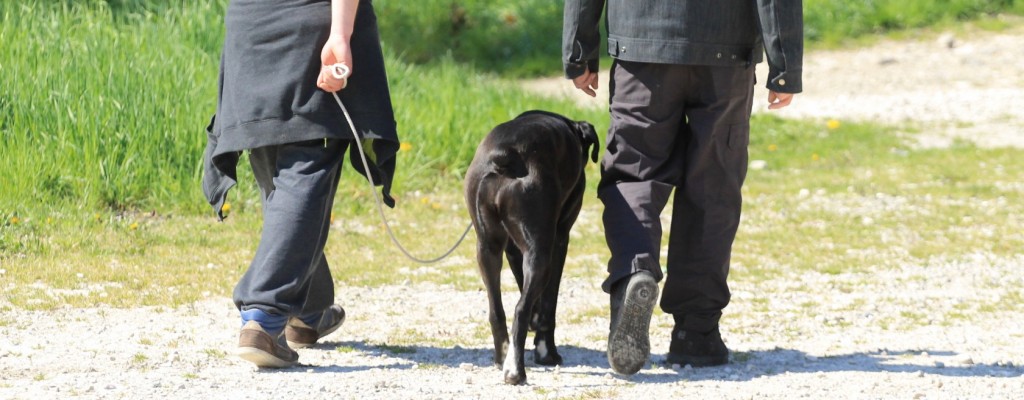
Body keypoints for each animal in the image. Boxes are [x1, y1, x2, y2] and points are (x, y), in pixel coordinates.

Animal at [464, 109, 598, 384]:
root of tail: (505, 154)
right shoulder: (560, 240)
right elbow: (548, 306)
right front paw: (547, 352)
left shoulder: (513, 250)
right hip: (541, 255)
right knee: (520, 309)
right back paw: (516, 371)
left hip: (488, 249)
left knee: (497, 311)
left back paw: (503, 357)